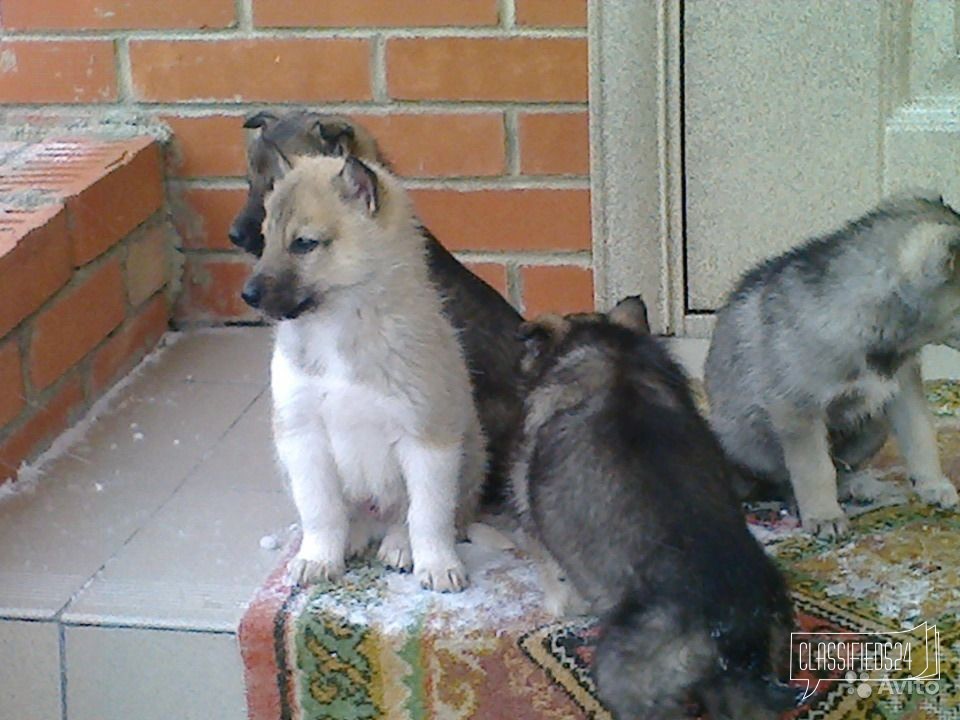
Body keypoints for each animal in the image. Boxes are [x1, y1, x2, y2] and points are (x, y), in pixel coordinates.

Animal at [246, 155, 484, 592]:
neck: (338, 325)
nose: (247, 295)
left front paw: (437, 564)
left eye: (303, 243)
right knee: (350, 515)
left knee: (408, 515)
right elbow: (321, 510)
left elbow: (428, 514)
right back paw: (355, 537)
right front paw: (318, 557)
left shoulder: (427, 437)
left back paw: (399, 545)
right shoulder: (301, 435)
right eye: (265, 238)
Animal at [704, 194, 960, 536]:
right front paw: (824, 515)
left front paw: (934, 485)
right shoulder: (799, 410)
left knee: (841, 469)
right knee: (777, 482)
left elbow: (921, 436)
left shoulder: (903, 390)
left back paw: (857, 486)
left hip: (874, 425)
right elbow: (815, 469)